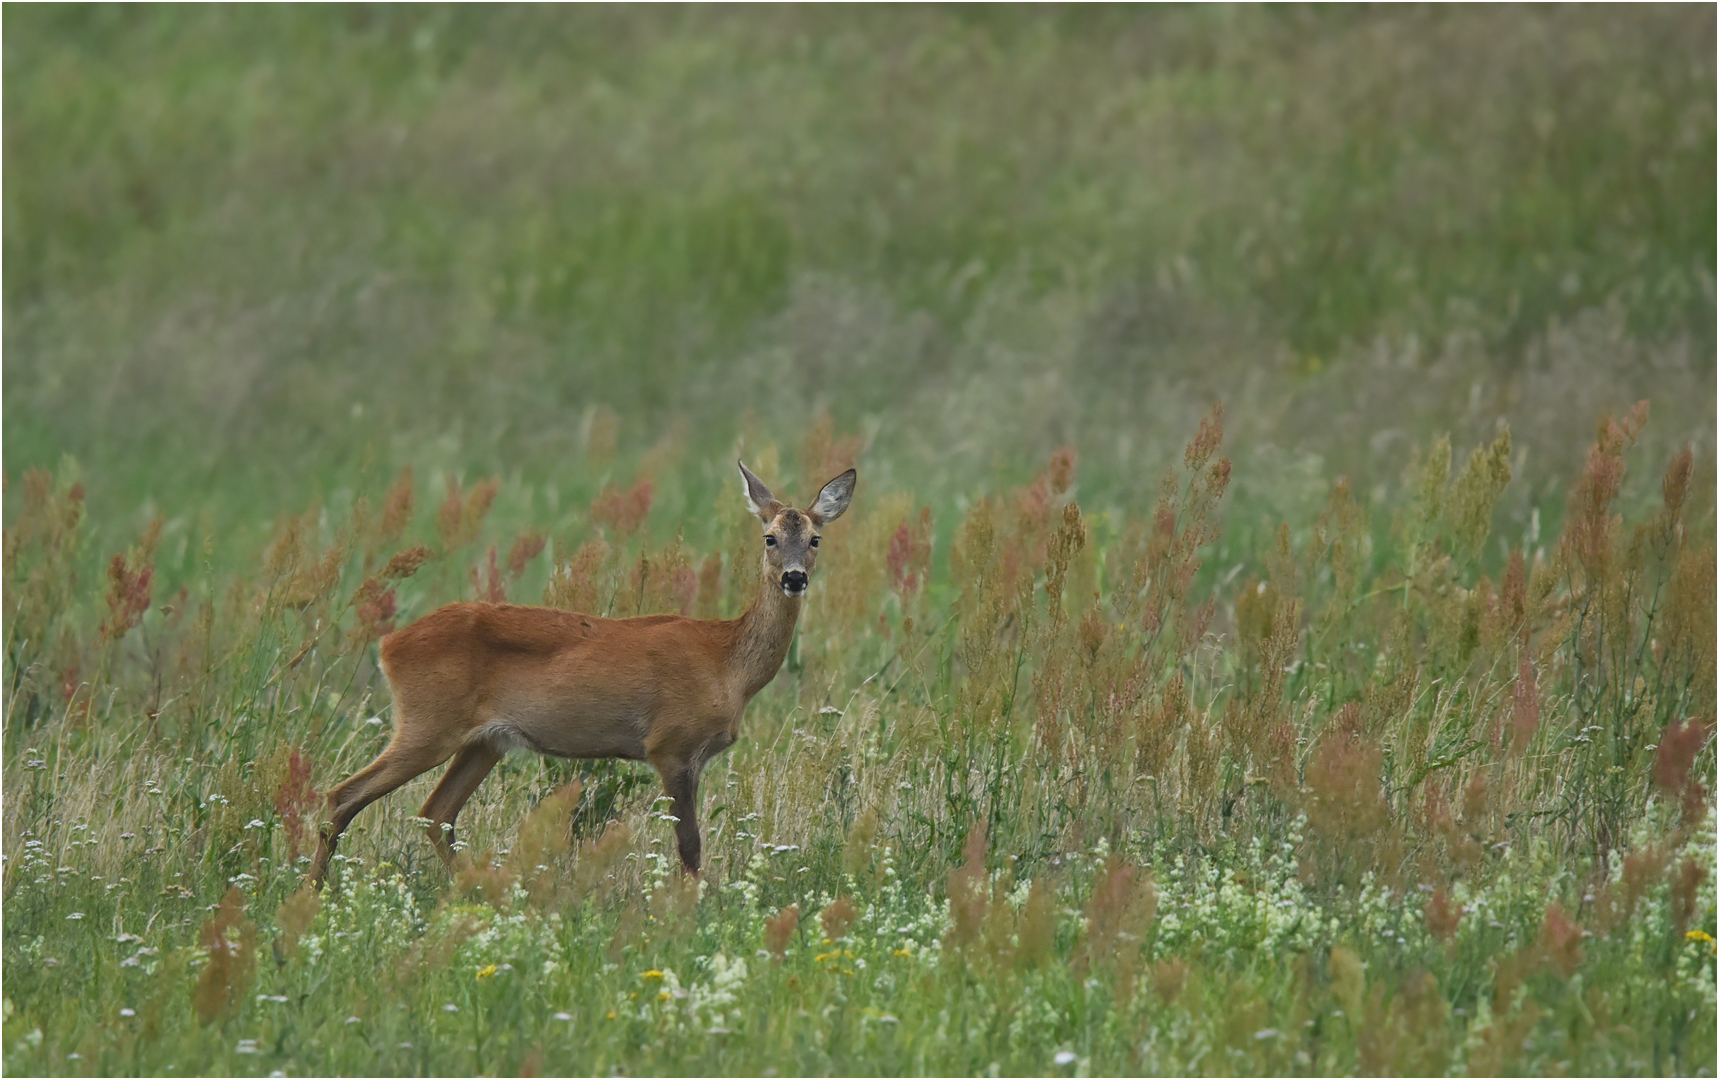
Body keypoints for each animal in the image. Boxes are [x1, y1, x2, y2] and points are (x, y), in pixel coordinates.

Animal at [311, 460, 859, 887]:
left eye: (815, 538)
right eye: (769, 537)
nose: (794, 577)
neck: (727, 666)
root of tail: (389, 644)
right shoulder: (670, 743)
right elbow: (690, 846)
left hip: (485, 741)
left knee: (435, 814)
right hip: (428, 722)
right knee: (343, 796)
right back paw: (314, 894)